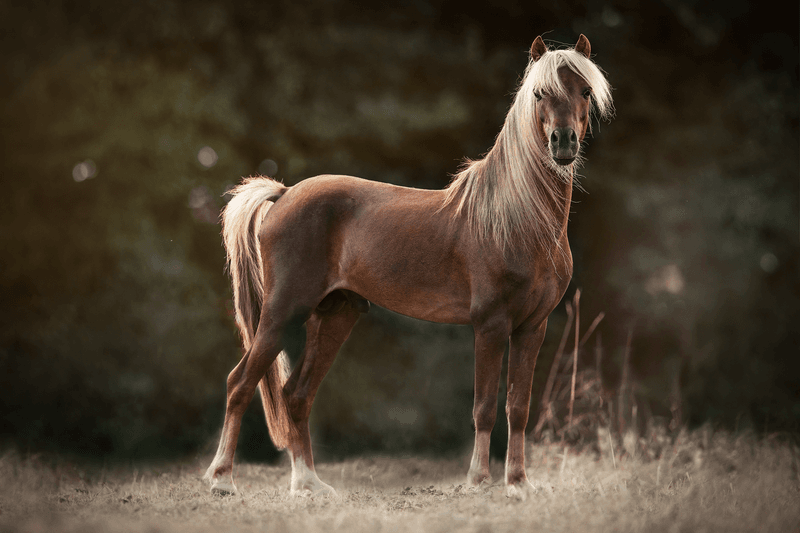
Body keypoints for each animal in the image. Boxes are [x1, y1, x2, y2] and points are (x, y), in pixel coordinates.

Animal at [205, 34, 612, 498]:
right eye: (540, 93)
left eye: (585, 91)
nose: (563, 143)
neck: (515, 219)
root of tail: (284, 193)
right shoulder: (490, 324)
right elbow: (485, 408)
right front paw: (477, 480)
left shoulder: (532, 327)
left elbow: (519, 407)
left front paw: (518, 484)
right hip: (281, 313)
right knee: (240, 384)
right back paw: (221, 480)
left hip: (336, 315)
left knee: (296, 395)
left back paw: (308, 484)